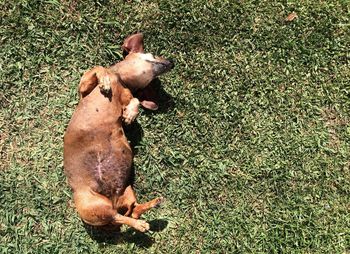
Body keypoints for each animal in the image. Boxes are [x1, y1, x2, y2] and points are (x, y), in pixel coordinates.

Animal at [63, 33, 174, 232]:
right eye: (152, 54)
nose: (172, 62)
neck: (121, 81)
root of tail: (113, 200)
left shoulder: (129, 95)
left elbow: (135, 100)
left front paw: (129, 115)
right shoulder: (83, 87)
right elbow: (99, 68)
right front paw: (105, 82)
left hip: (127, 192)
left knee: (131, 212)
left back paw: (152, 206)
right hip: (94, 205)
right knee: (120, 218)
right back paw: (141, 223)